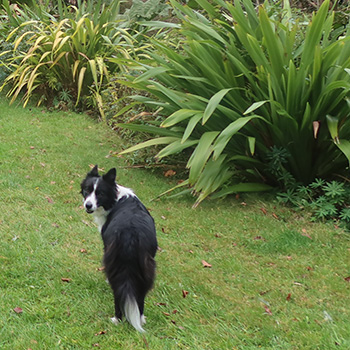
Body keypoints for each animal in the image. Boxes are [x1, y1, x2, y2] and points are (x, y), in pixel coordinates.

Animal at [80, 165, 157, 332]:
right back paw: (140, 319)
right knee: (140, 295)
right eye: (87, 190)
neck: (115, 198)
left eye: (100, 193)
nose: (88, 205)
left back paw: (117, 319)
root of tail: (131, 234)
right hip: (146, 268)